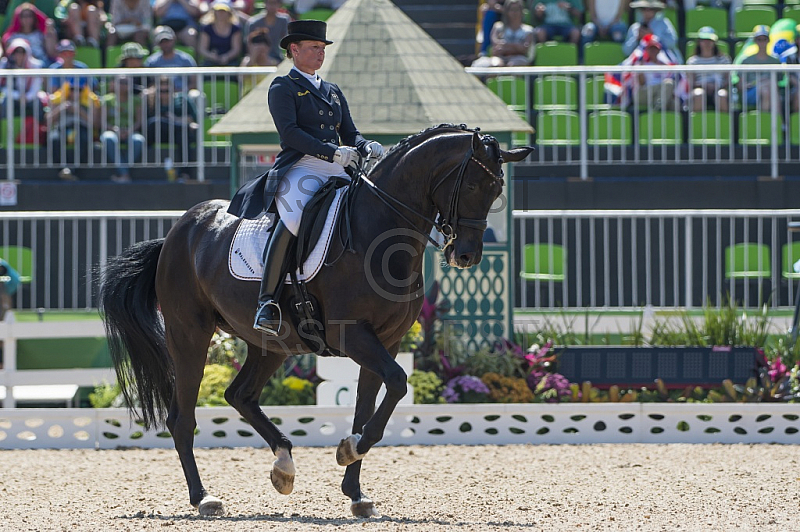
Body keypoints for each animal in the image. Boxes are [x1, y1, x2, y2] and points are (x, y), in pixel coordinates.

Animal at [100, 123, 536, 516]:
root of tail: (178, 232)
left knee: (239, 395)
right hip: (189, 334)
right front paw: (349, 450)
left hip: (270, 344)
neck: (379, 229)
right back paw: (203, 498)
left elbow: (369, 405)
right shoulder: (354, 335)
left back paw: (283, 466)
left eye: (498, 191)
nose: (466, 256)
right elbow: (397, 383)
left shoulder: (387, 340)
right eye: (473, 187)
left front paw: (355, 488)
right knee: (182, 418)